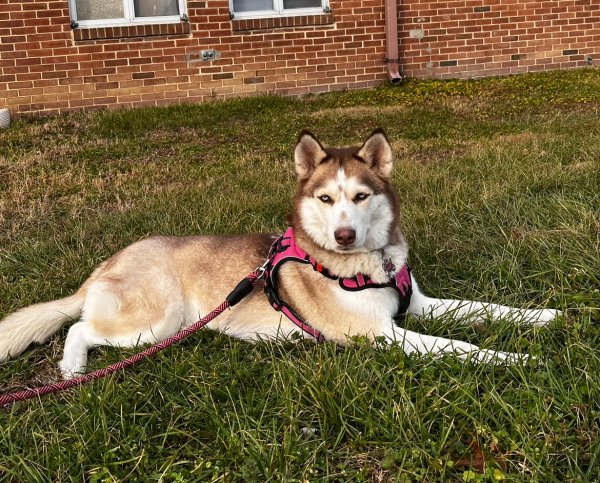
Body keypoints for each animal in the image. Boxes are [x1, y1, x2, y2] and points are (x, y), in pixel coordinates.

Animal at [0, 129, 556, 378]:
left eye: (361, 196)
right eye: (325, 199)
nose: (344, 235)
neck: (366, 266)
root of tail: (108, 263)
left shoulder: (417, 304)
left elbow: (486, 309)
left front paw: (547, 317)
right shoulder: (380, 334)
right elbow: (459, 346)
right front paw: (515, 358)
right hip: (153, 323)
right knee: (78, 328)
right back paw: (73, 368)